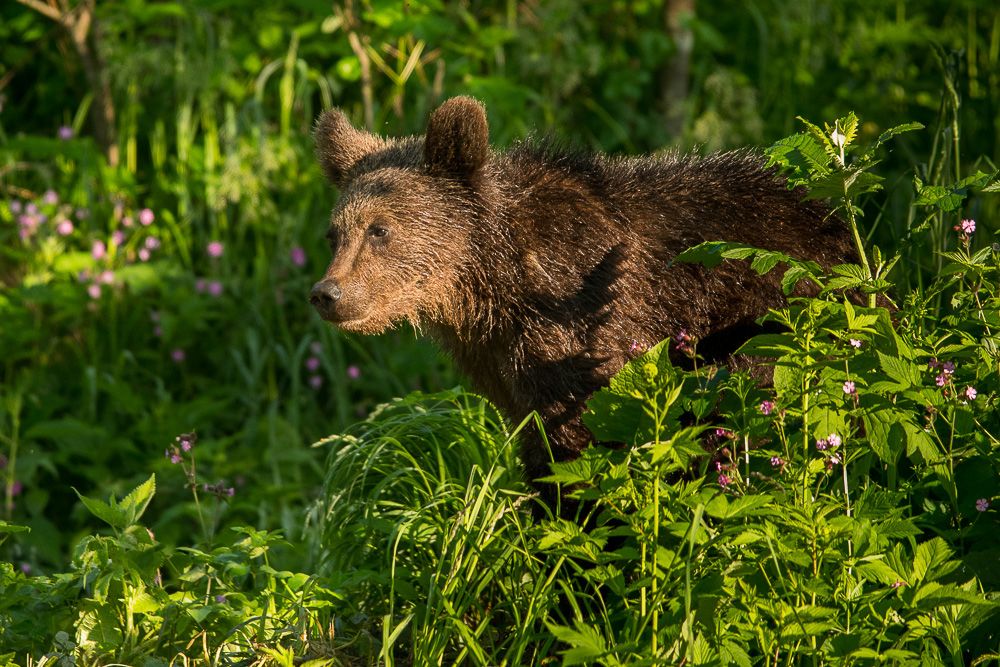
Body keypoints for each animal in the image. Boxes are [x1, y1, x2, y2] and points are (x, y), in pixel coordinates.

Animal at [308, 95, 856, 506]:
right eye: (334, 234)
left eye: (379, 230)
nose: (327, 294)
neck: (494, 286)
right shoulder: (500, 362)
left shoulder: (582, 318)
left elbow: (582, 446)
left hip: (771, 327)